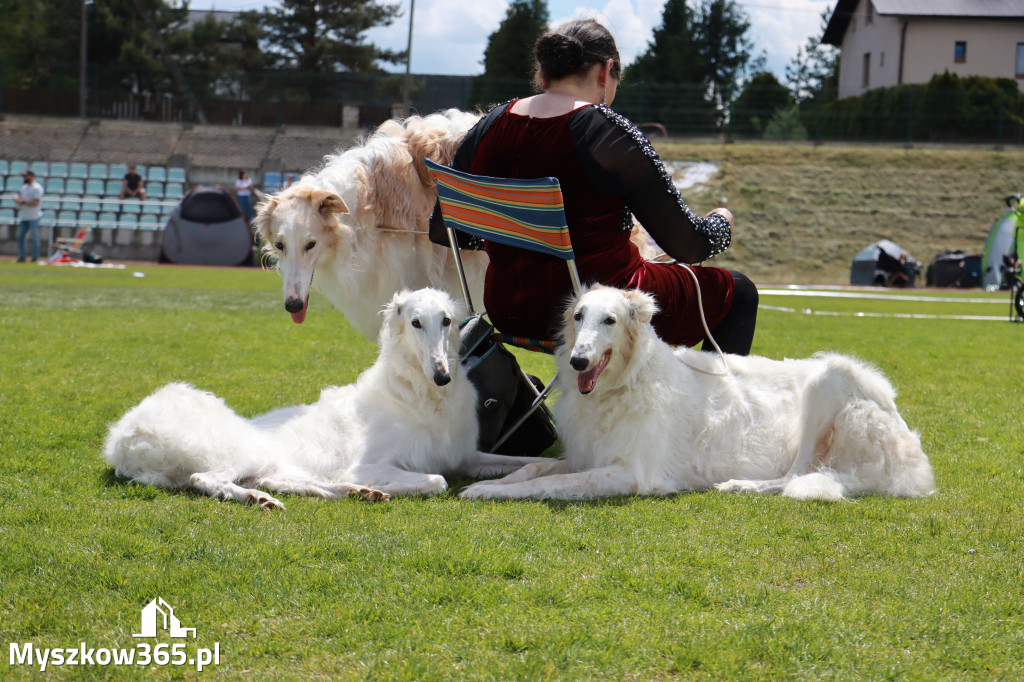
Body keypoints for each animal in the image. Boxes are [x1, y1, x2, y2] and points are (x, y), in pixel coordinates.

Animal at [104, 288, 548, 509]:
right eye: (416, 322)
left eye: (447, 320)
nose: (442, 376)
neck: (417, 395)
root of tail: (122, 439)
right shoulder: (371, 462)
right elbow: (437, 481)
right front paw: (382, 485)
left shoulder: (465, 456)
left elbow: (533, 461)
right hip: (242, 451)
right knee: (207, 479)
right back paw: (262, 499)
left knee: (284, 480)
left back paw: (351, 493)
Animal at [464, 284, 937, 501]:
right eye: (578, 316)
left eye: (610, 320)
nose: (578, 362)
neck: (628, 382)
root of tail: (910, 459)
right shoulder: (585, 456)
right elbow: (532, 469)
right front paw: (490, 482)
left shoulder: (630, 473)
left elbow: (548, 484)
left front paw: (490, 492)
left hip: (833, 378)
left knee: (793, 476)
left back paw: (740, 485)